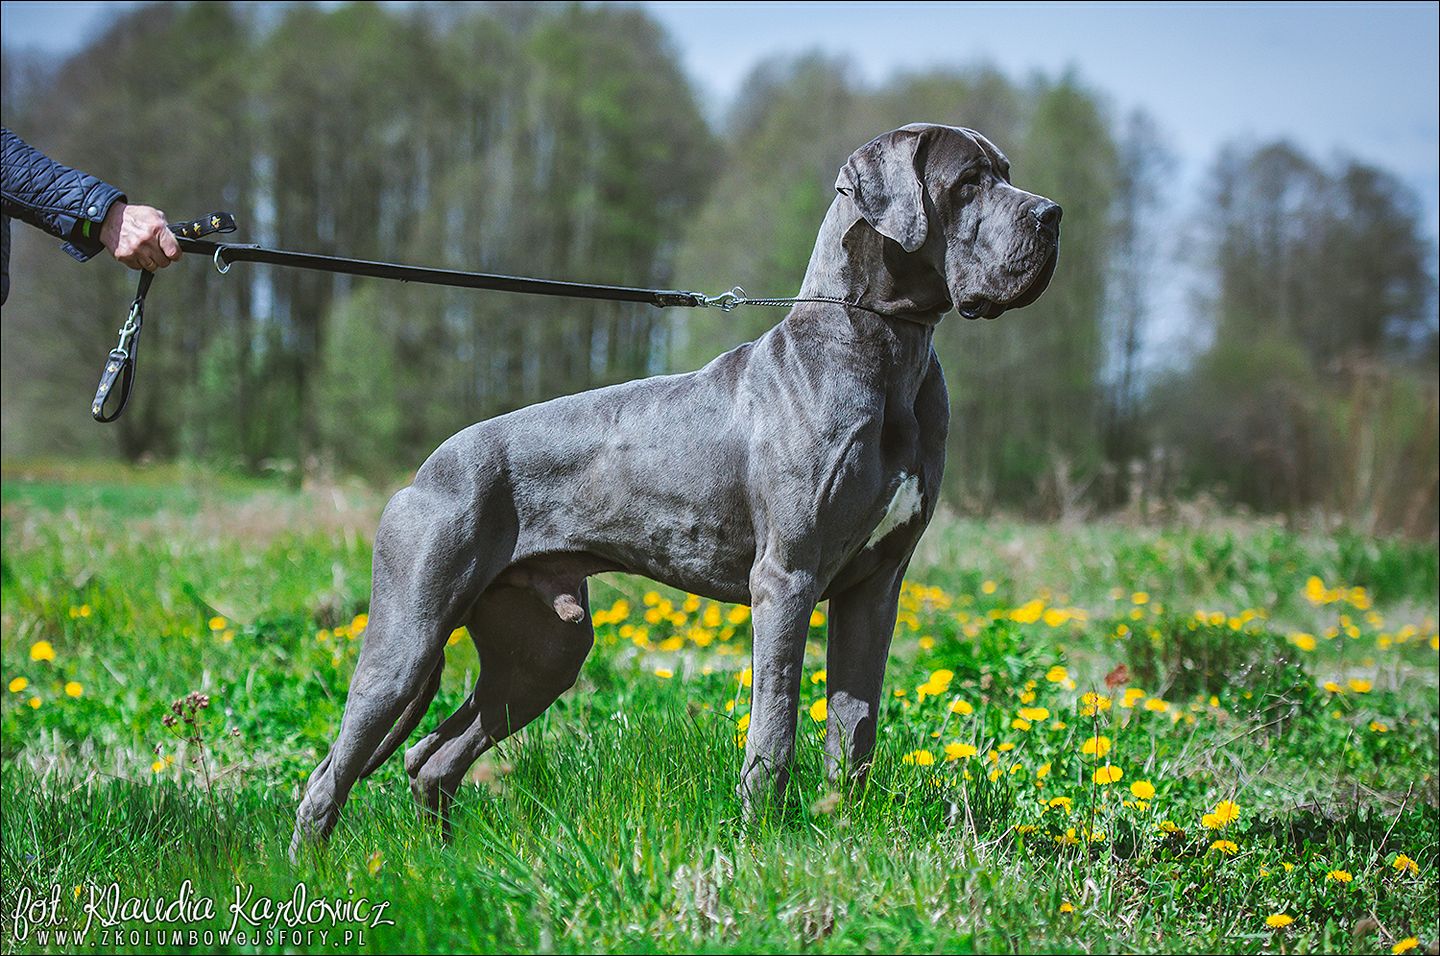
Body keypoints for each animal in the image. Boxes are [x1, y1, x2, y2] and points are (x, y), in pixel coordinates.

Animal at [290, 123, 1059, 856]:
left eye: (1007, 174)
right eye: (967, 182)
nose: (1053, 215)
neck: (886, 348)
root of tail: (425, 470)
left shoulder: (875, 586)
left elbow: (856, 725)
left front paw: (843, 831)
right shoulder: (787, 578)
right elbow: (774, 730)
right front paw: (760, 841)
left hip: (541, 651)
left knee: (432, 758)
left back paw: (448, 863)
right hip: (408, 638)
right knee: (329, 778)